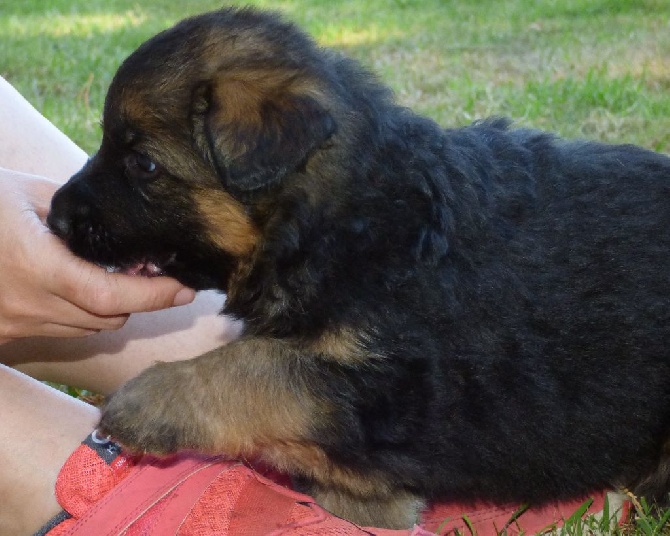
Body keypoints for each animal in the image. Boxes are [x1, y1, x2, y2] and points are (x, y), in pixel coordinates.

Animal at [47, 6, 670, 528]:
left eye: (144, 164)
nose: (54, 217)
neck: (345, 219)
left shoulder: (394, 386)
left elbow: (256, 367)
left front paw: (147, 400)